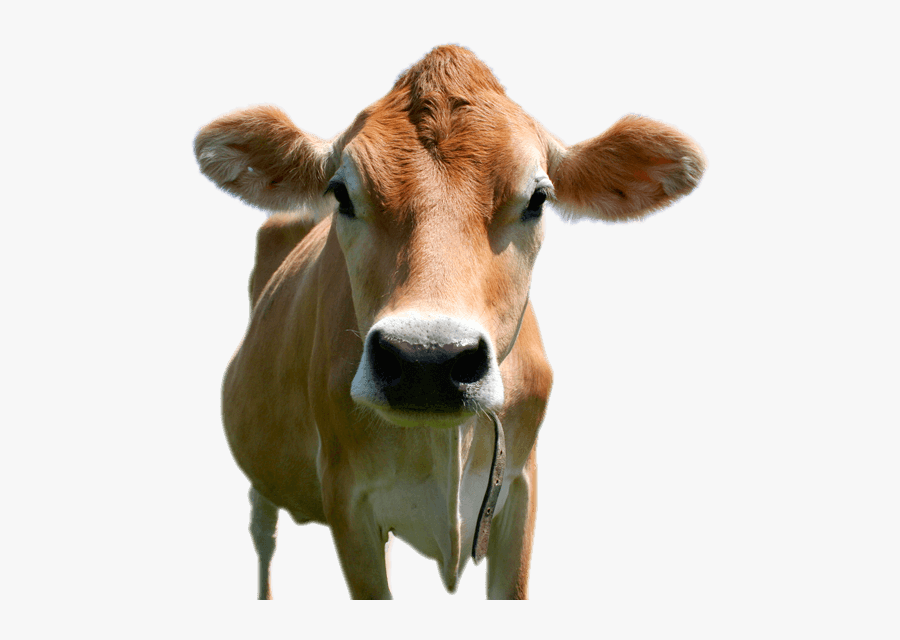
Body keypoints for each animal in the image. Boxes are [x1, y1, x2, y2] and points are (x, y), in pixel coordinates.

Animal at [194, 45, 705, 599]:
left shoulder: (519, 489)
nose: (427, 360)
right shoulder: (347, 499)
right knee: (262, 535)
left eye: (538, 198)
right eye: (341, 193)